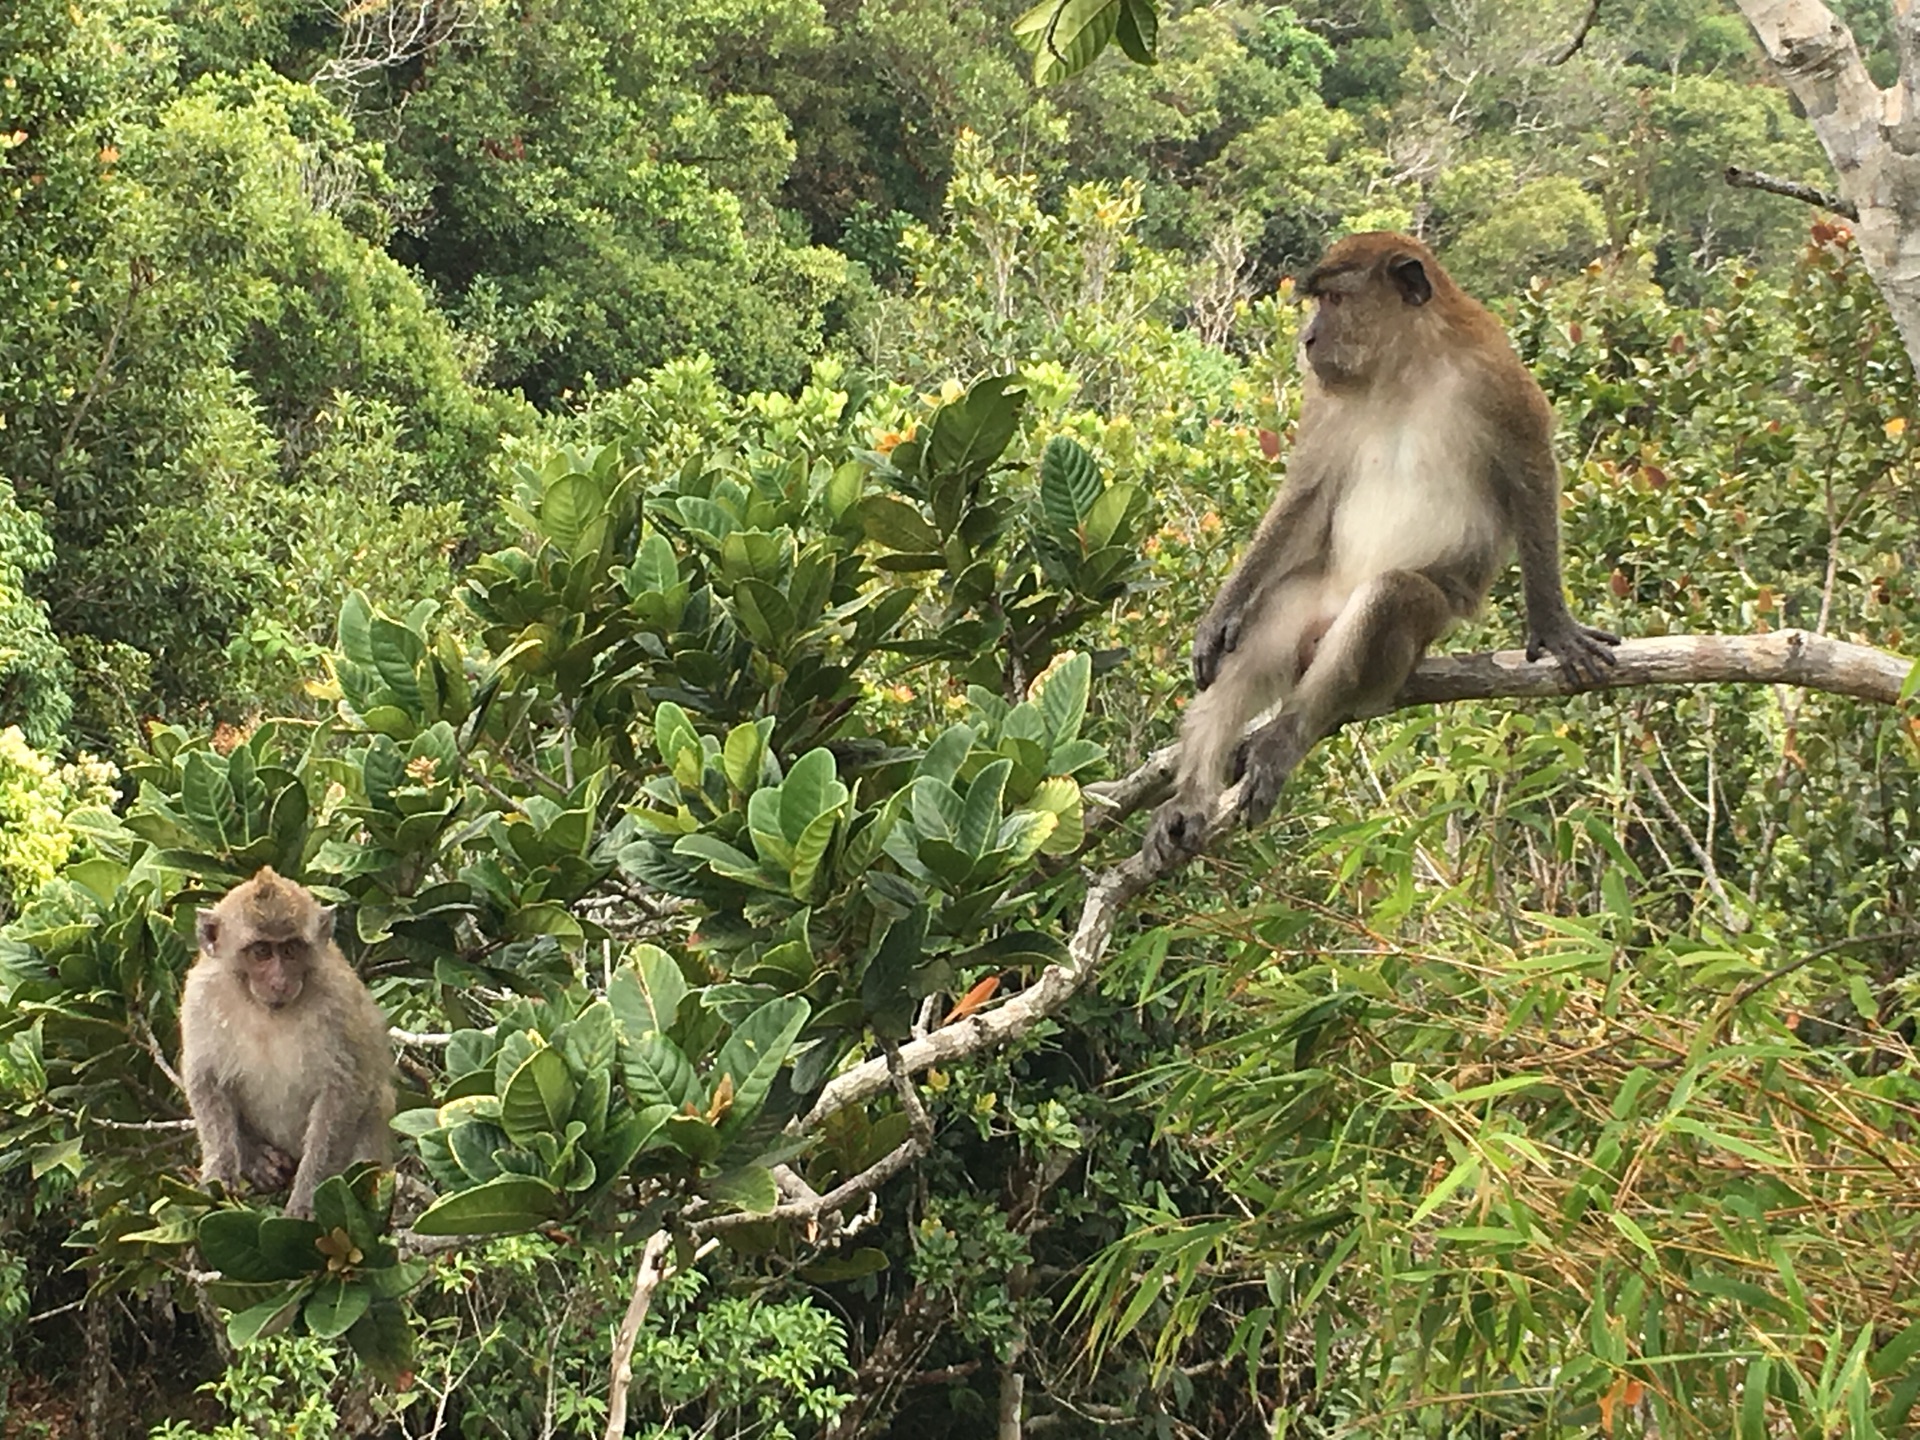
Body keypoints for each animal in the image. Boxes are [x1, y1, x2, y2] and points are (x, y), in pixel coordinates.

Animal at [180, 867, 393, 1221]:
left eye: (291, 949)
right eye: (262, 952)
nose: (279, 981)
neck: (266, 1009)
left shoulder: (336, 999)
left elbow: (345, 1088)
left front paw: (308, 1199)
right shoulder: (200, 995)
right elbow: (205, 1079)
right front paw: (220, 1176)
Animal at [1136, 235, 1620, 867]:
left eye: (1336, 300)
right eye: (1318, 301)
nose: (1308, 339)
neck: (1403, 368)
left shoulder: (1495, 376)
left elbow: (1532, 470)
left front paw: (1554, 624)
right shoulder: (1325, 396)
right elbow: (1306, 495)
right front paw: (1218, 618)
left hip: (1417, 633)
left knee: (1386, 601)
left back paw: (1282, 741)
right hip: (1306, 598)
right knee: (1257, 643)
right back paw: (1192, 796)